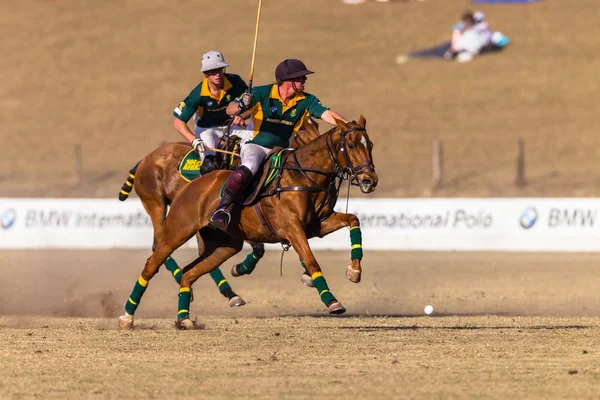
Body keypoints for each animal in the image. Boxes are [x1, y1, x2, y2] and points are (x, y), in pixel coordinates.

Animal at [119, 115, 378, 328]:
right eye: (352, 145)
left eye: (371, 145)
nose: (370, 180)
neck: (303, 176)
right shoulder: (292, 228)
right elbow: (311, 261)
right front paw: (332, 301)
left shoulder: (317, 225)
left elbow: (353, 220)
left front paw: (354, 271)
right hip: (173, 225)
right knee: (152, 262)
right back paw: (127, 317)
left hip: (226, 245)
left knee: (189, 272)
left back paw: (185, 318)